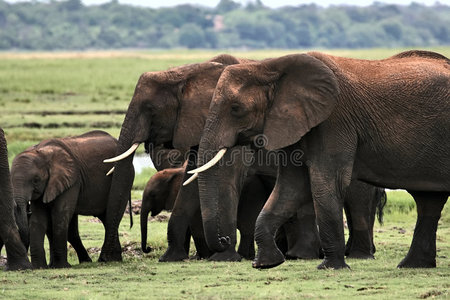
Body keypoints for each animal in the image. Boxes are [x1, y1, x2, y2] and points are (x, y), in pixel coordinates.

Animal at [11, 130, 120, 268]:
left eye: (36, 180)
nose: (27, 209)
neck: (42, 152)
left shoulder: (71, 181)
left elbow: (60, 214)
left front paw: (60, 266)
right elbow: (38, 219)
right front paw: (40, 267)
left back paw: (109, 260)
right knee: (106, 219)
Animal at [192, 49, 448, 270]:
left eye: (236, 108)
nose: (224, 239)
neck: (270, 66)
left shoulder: (334, 120)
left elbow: (326, 182)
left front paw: (331, 267)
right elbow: (291, 186)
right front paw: (265, 264)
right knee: (429, 200)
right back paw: (413, 265)